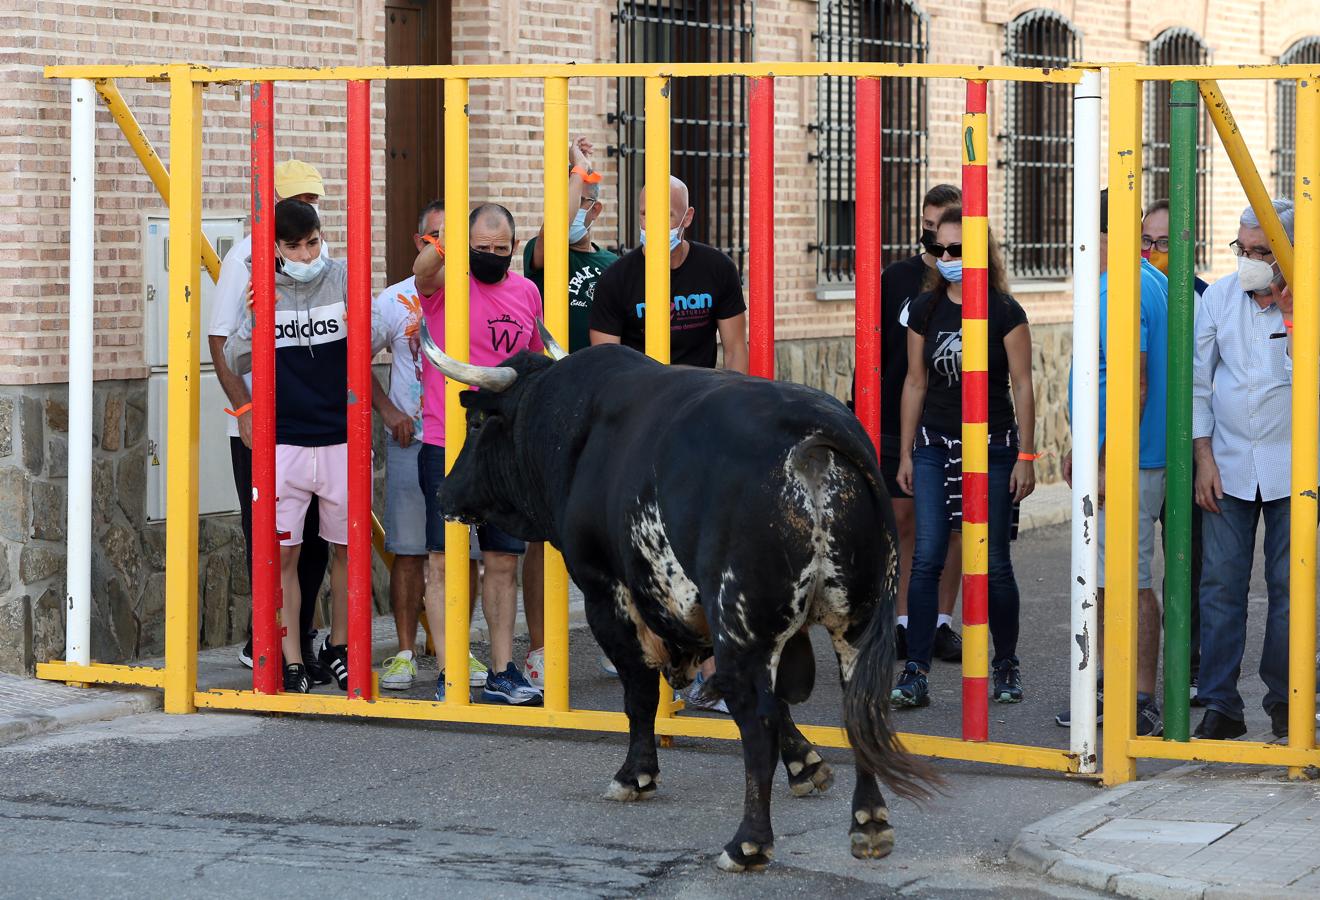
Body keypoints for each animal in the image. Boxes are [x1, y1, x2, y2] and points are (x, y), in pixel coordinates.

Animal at [427, 337, 934, 870]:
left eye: (476, 422)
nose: (444, 492)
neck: (574, 428)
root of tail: (813, 438)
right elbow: (783, 706)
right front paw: (806, 765)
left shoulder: (607, 592)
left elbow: (639, 691)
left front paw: (635, 775)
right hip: (851, 623)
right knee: (859, 706)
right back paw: (869, 823)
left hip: (740, 624)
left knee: (755, 720)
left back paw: (748, 843)